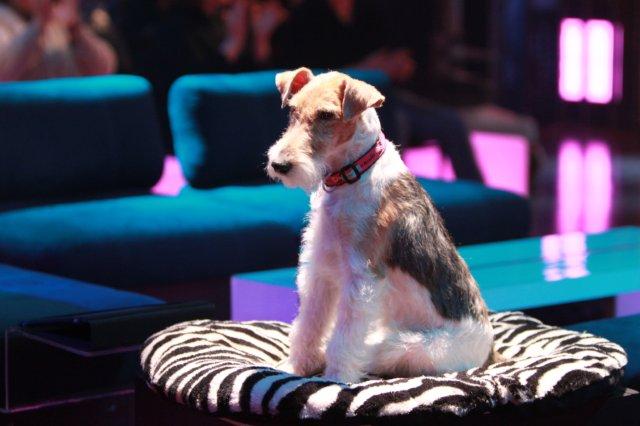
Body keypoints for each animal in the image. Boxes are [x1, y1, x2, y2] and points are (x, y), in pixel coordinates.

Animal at [266, 68, 494, 383]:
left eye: (326, 115)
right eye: (292, 110)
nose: (280, 165)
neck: (354, 172)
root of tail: (489, 351)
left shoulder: (362, 279)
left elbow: (344, 338)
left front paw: (335, 378)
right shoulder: (319, 268)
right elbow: (309, 323)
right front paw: (296, 367)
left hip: (405, 346)